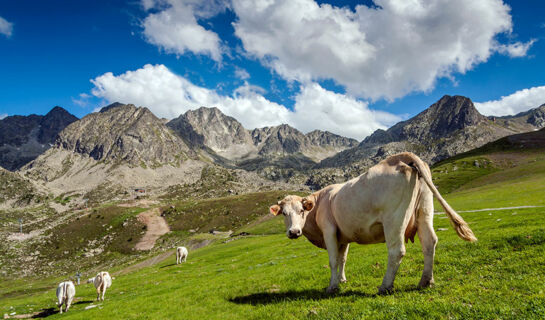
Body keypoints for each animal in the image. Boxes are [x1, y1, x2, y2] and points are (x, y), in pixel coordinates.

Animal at [270, 152, 474, 296]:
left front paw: (332, 286)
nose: (294, 232)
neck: (321, 202)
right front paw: (342, 280)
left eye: (301, 211)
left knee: (397, 251)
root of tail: (402, 156)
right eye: (284, 213)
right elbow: (343, 259)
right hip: (424, 211)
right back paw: (426, 281)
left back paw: (385, 286)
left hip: (394, 220)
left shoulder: (329, 231)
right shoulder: (343, 236)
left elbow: (333, 260)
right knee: (429, 243)